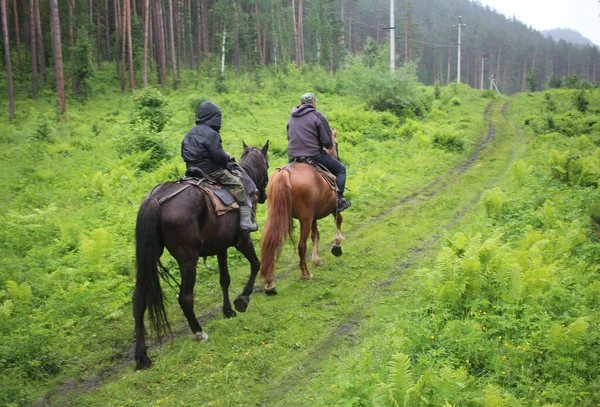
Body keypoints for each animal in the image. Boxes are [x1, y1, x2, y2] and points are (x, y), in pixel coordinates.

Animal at [135, 142, 270, 372]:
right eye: (267, 164)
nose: (263, 196)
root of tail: (156, 200)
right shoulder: (242, 240)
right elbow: (256, 264)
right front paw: (242, 299)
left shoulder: (220, 247)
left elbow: (224, 279)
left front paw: (228, 311)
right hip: (188, 260)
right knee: (185, 298)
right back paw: (199, 333)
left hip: (148, 257)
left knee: (138, 301)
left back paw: (142, 357)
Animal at [260, 131, 344, 294]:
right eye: (335, 144)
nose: (338, 157)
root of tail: (285, 173)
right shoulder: (332, 207)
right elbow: (338, 219)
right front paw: (337, 244)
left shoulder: (313, 217)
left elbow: (315, 235)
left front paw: (317, 260)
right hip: (305, 219)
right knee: (301, 245)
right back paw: (305, 274)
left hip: (278, 216)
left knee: (270, 244)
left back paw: (270, 283)